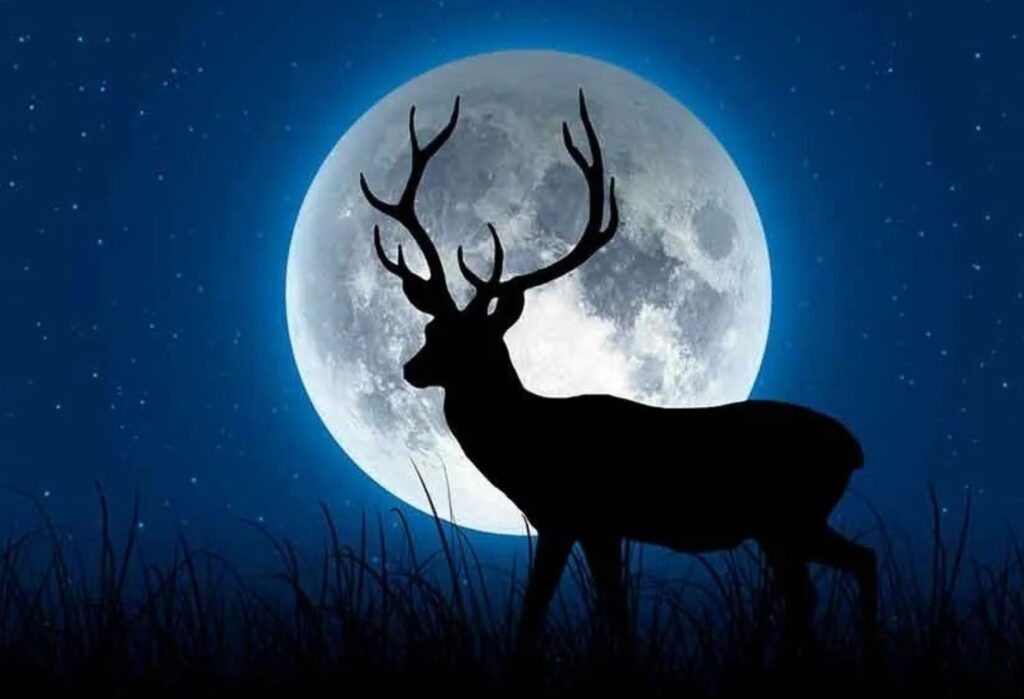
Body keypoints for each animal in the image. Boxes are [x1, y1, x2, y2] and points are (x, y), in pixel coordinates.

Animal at [357, 89, 877, 659]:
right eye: (431, 329)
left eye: (471, 341)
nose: (411, 368)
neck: (528, 442)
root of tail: (853, 449)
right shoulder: (587, 527)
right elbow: (600, 609)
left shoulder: (578, 516)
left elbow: (550, 612)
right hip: (787, 525)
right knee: (844, 571)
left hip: (791, 516)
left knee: (833, 577)